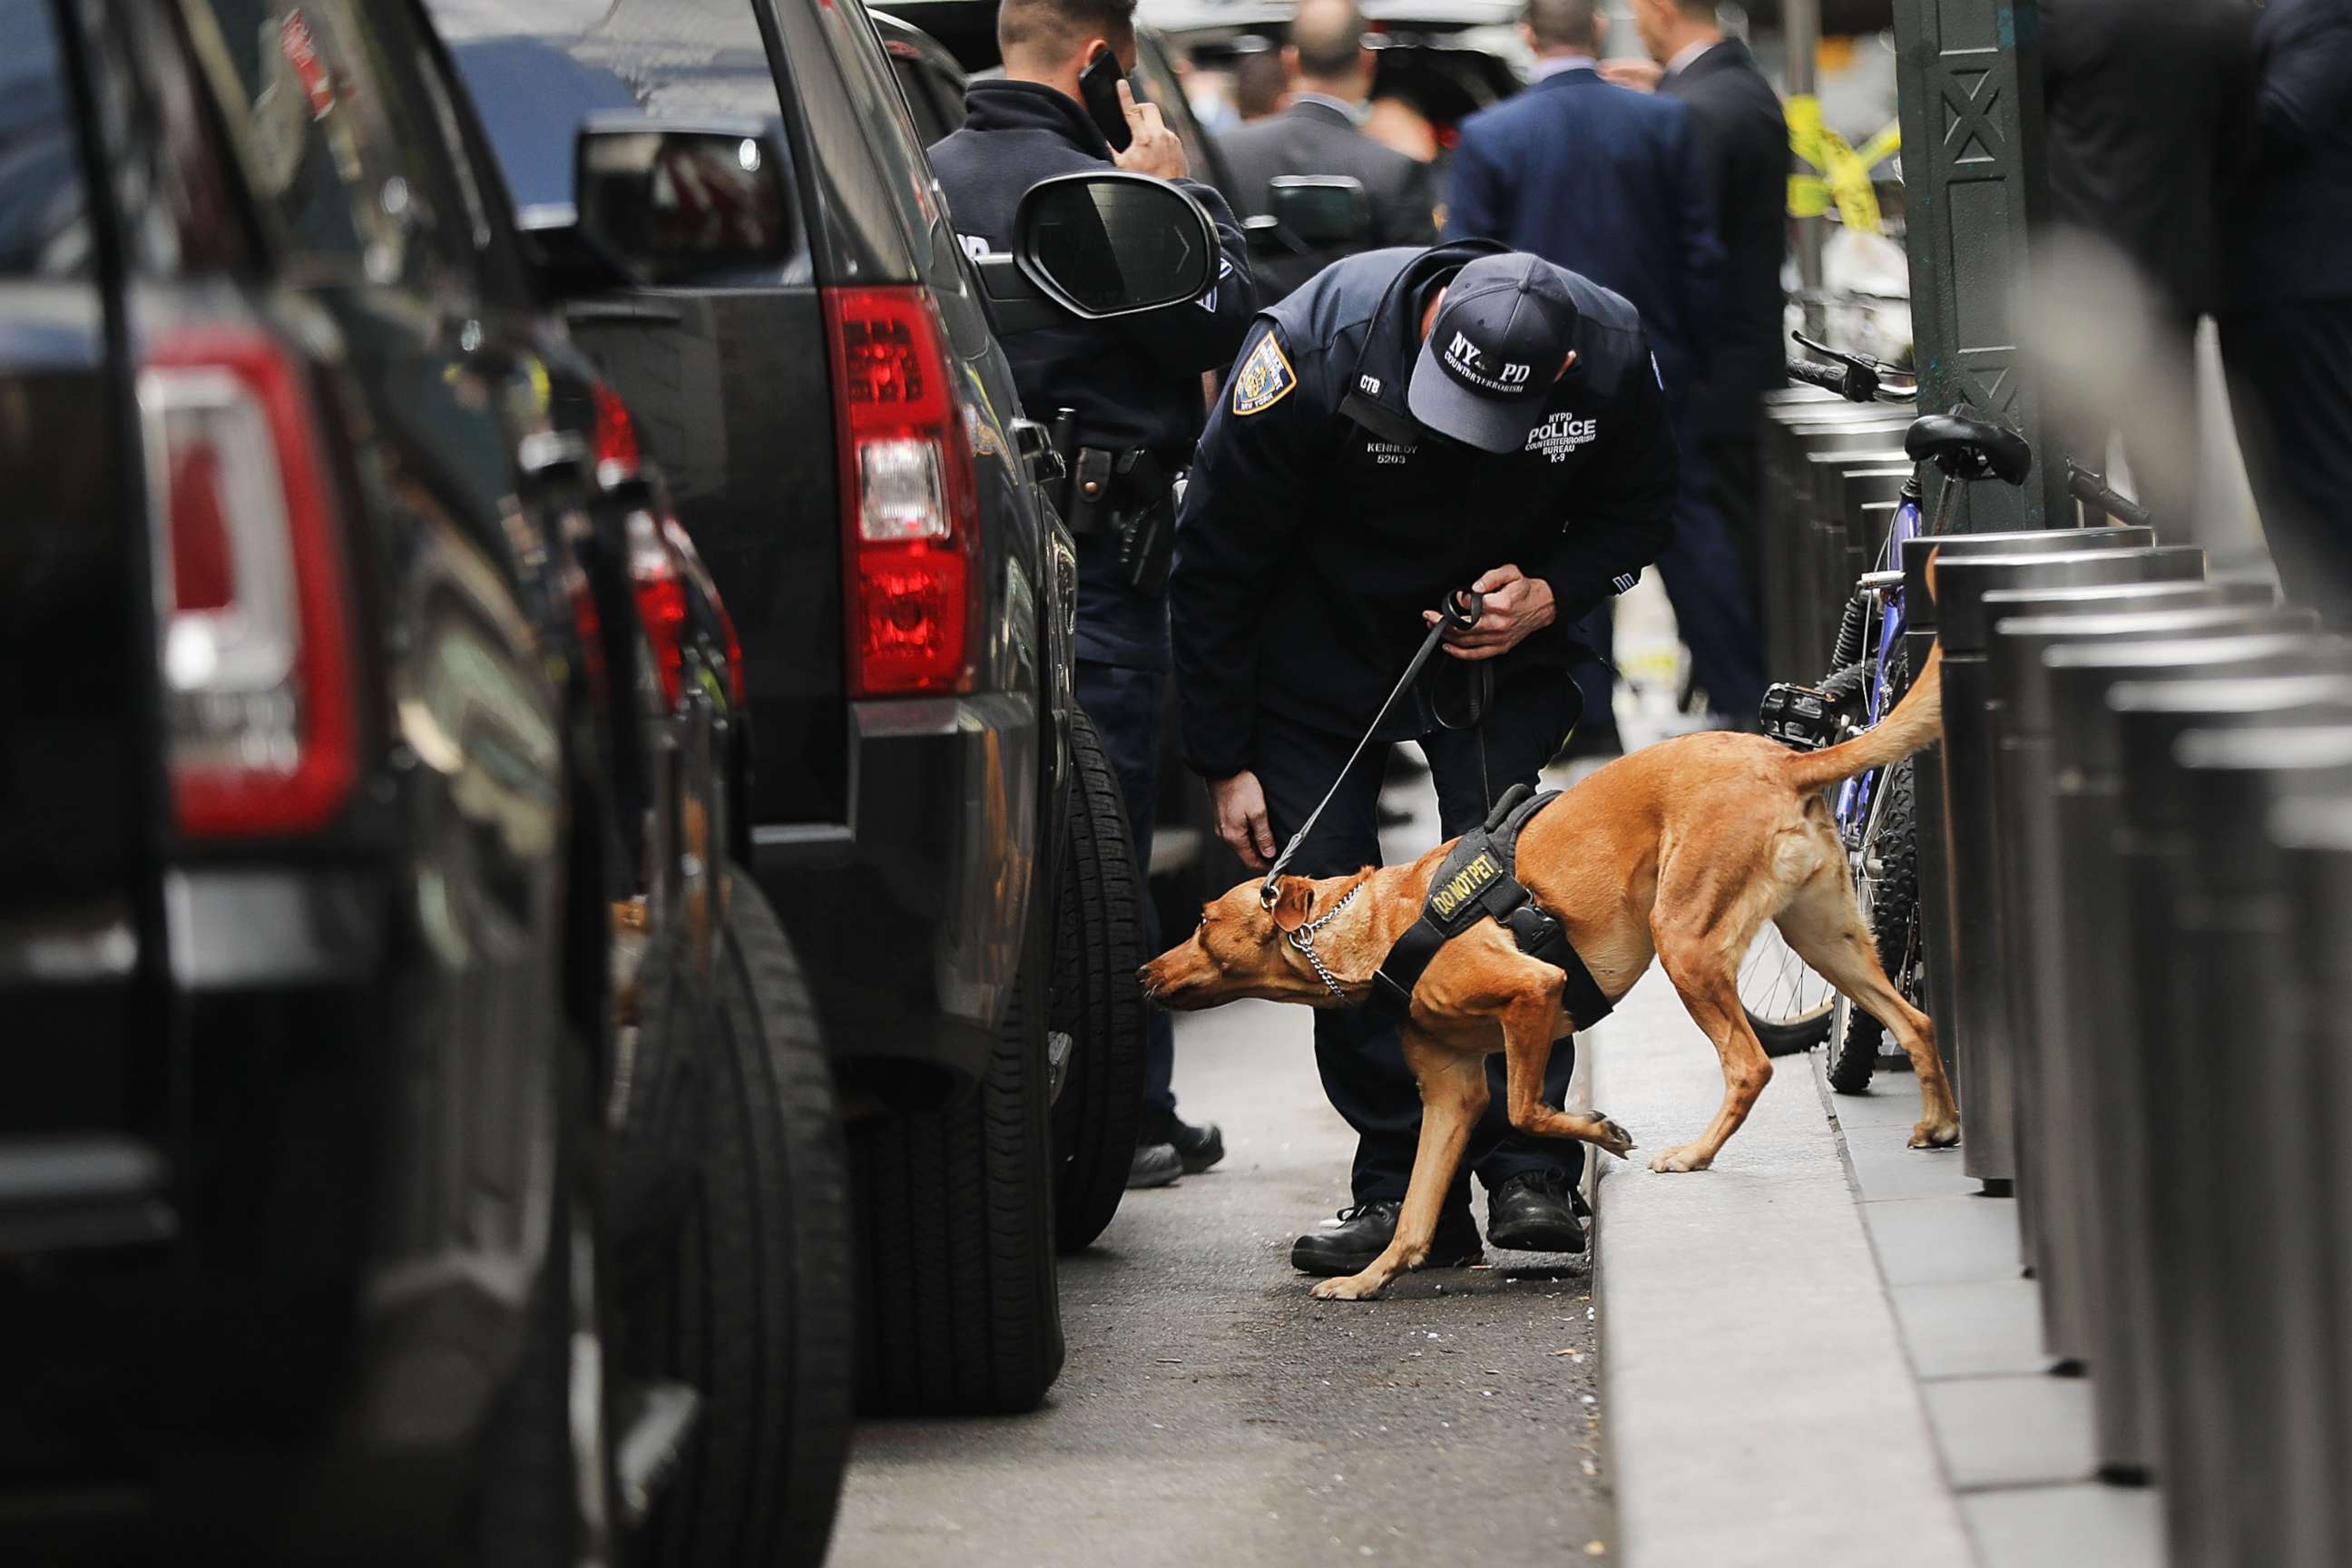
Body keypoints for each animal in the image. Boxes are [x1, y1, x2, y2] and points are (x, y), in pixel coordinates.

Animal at [1133, 649, 1947, 1298]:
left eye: (1201, 922)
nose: (1142, 971)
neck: (1382, 926)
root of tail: (1781, 757)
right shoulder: (1451, 1094)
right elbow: (1418, 1207)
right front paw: (1371, 1278)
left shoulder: (1533, 993)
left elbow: (1526, 1109)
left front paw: (1602, 1133)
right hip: (1826, 939)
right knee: (1914, 1019)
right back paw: (1938, 1123)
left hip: (1686, 942)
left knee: (1750, 1064)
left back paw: (1694, 1154)